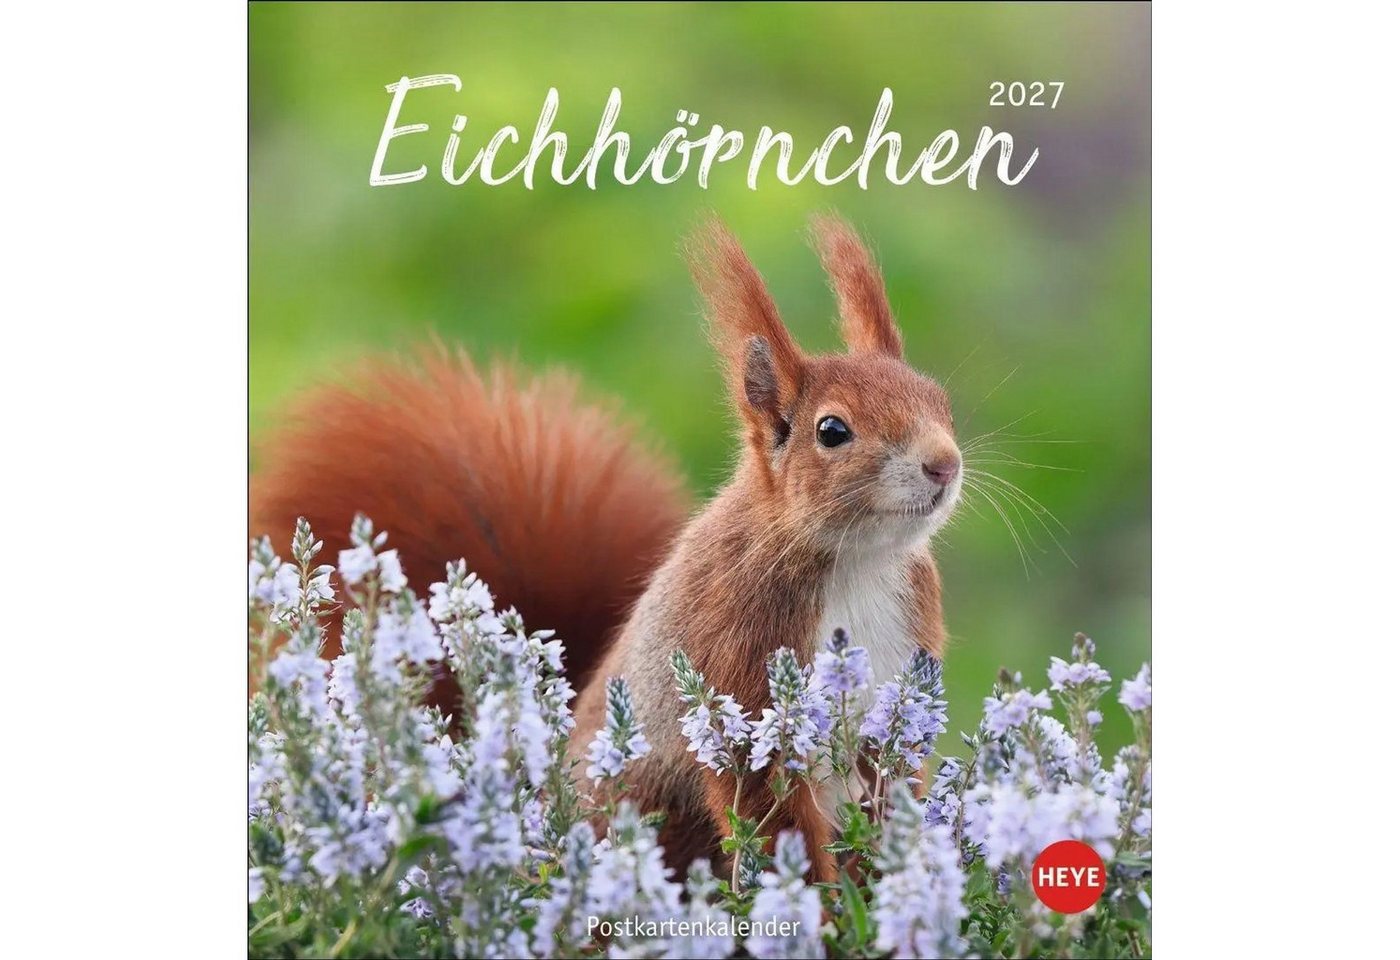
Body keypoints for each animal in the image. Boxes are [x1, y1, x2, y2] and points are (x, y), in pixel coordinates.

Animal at [250, 214, 963, 883]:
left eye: (940, 400)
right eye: (832, 430)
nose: (944, 463)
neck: (857, 561)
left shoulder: (900, 675)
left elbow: (889, 782)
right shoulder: (737, 654)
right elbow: (769, 809)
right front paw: (821, 906)